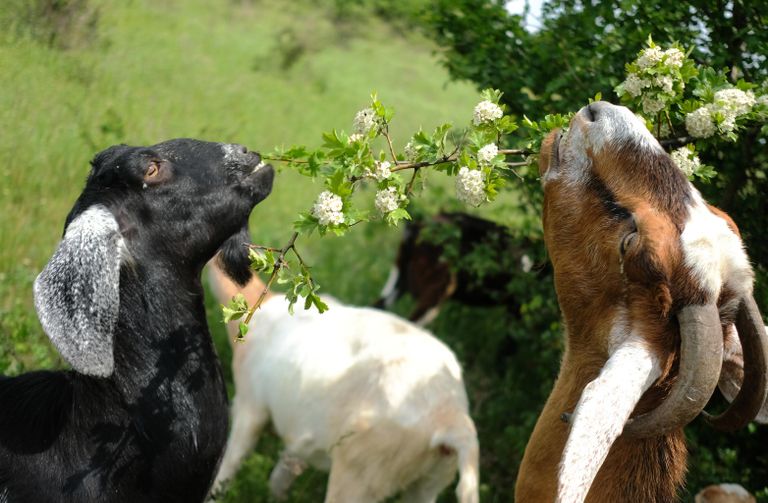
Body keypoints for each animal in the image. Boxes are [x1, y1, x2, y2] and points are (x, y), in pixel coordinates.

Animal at [208, 263, 480, 503]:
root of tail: (452, 418)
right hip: (431, 480)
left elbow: (226, 470)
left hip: (360, 472)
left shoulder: (250, 404)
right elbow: (280, 476)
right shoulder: (299, 433)